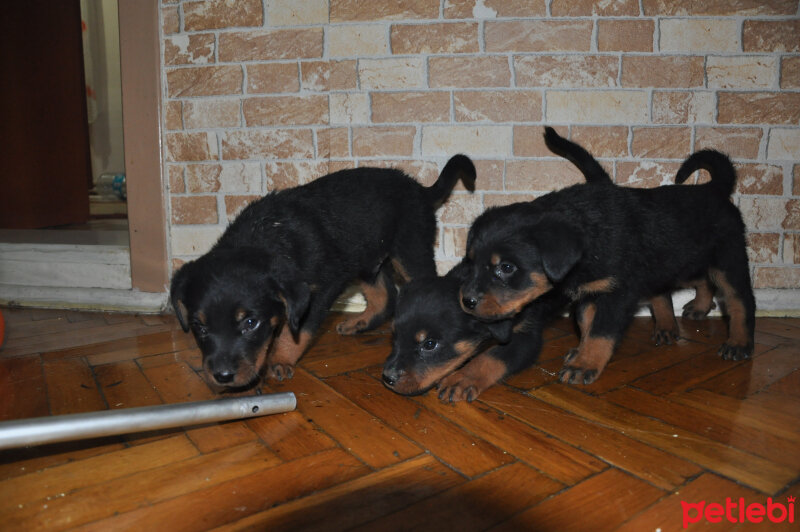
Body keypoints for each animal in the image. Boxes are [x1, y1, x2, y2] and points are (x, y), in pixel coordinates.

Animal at [170, 156, 476, 388]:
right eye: (199, 327)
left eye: (250, 323)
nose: (222, 377)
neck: (266, 235)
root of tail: (421, 190)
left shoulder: (321, 289)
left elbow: (297, 331)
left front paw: (280, 360)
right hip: (365, 257)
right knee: (385, 295)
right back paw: (360, 322)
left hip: (410, 249)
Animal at [460, 129, 752, 386]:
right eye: (470, 263)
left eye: (507, 267)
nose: (467, 301)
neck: (588, 240)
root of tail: (714, 189)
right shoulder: (591, 292)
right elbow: (587, 324)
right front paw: (580, 352)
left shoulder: (616, 293)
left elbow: (600, 332)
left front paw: (583, 364)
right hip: (680, 261)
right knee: (694, 281)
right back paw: (686, 314)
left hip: (728, 259)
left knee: (739, 300)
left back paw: (738, 343)